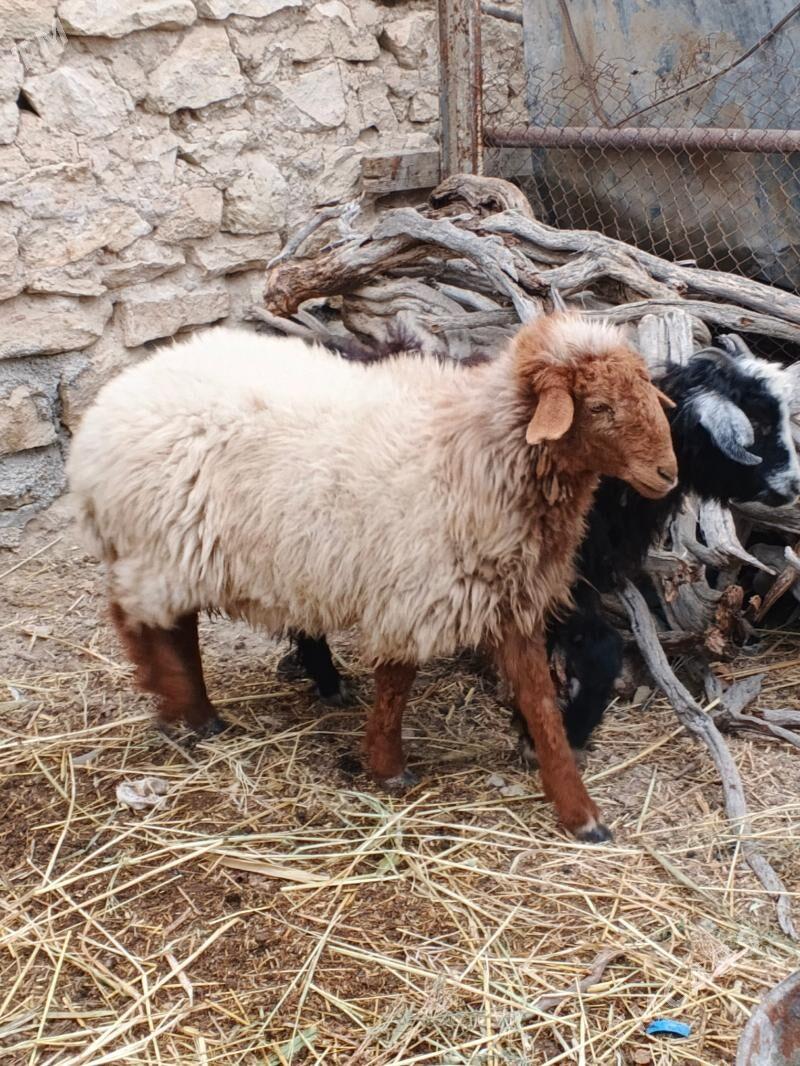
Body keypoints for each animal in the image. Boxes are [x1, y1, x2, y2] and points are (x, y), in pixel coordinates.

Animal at [67, 312, 677, 842]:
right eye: (598, 405)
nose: (667, 473)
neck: (473, 448)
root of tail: (107, 411)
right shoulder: (415, 590)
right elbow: (397, 684)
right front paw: (387, 768)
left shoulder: (506, 598)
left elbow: (540, 703)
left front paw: (580, 812)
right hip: (158, 545)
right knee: (136, 620)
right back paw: (180, 708)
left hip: (180, 551)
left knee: (176, 624)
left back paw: (198, 712)